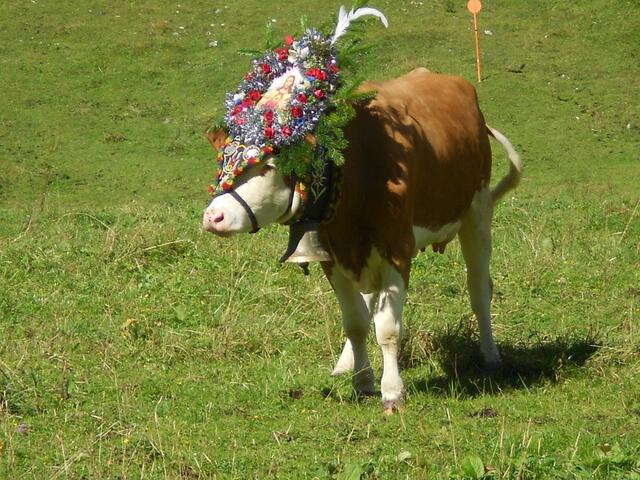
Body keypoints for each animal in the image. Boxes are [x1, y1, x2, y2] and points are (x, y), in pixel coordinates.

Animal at [203, 68, 522, 413]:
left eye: (269, 165)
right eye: (222, 161)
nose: (213, 216)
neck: (352, 169)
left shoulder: (397, 248)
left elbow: (388, 328)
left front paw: (392, 391)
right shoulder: (333, 254)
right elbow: (356, 321)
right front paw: (362, 380)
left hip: (477, 212)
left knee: (479, 290)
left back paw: (490, 355)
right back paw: (345, 363)